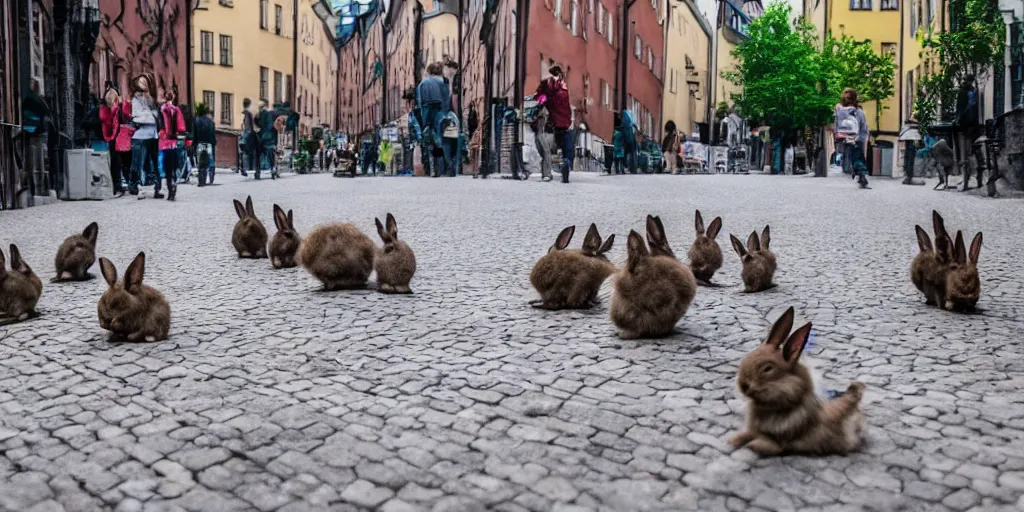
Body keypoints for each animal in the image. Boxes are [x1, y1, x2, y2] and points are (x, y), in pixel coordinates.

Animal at [733, 305, 868, 458]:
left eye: (767, 369)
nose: (742, 385)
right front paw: (734, 440)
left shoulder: (779, 441)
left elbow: (763, 442)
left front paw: (746, 444)